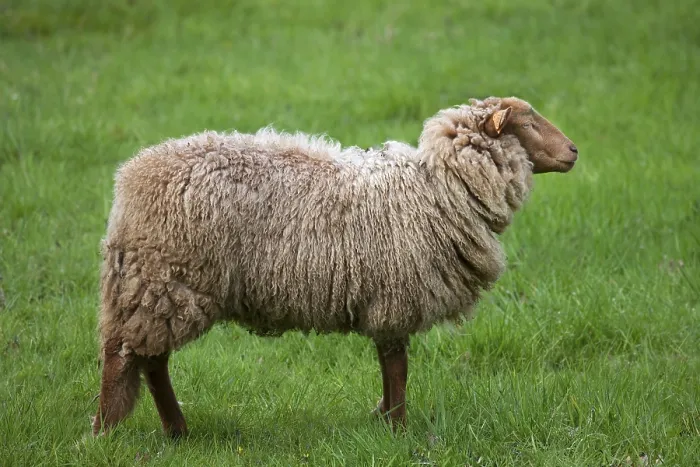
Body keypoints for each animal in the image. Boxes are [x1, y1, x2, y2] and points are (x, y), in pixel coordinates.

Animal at [91, 96, 578, 437]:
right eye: (528, 122)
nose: (574, 151)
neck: (437, 189)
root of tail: (129, 177)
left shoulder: (387, 297)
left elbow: (389, 365)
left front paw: (385, 420)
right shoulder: (395, 295)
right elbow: (397, 366)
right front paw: (398, 428)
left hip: (160, 289)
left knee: (152, 361)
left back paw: (176, 431)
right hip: (160, 281)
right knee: (124, 358)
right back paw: (104, 432)